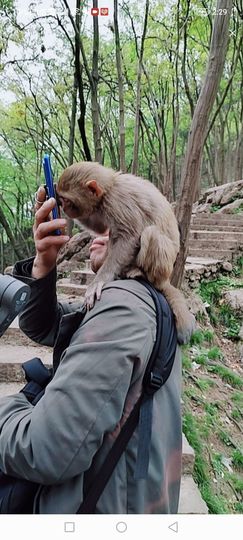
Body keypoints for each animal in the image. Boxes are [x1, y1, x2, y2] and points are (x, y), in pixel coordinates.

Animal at [56, 162, 196, 344]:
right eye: (63, 200)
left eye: (67, 200)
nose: (64, 207)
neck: (110, 187)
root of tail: (165, 280)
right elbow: (100, 227)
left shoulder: (118, 202)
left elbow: (129, 237)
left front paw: (99, 281)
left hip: (164, 267)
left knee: (150, 233)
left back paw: (140, 273)